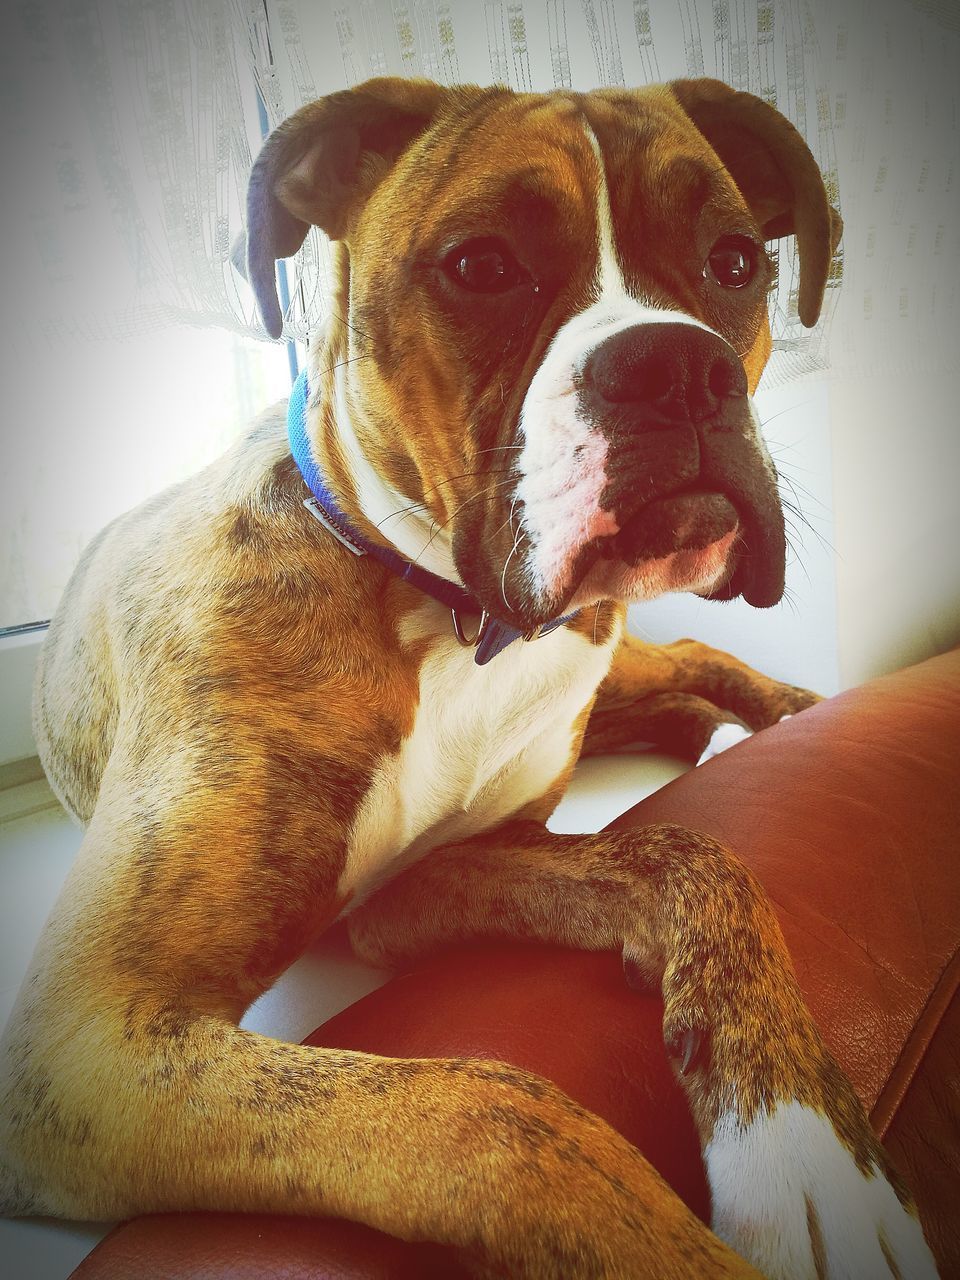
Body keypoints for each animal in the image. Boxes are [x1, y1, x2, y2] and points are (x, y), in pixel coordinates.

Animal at [0, 77, 936, 1280]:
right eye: (482, 265)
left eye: (736, 262)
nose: (678, 367)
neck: (449, 618)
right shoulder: (92, 1042)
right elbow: (494, 1115)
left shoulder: (460, 868)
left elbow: (692, 853)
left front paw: (811, 1144)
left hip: (605, 653)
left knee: (688, 656)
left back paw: (790, 717)